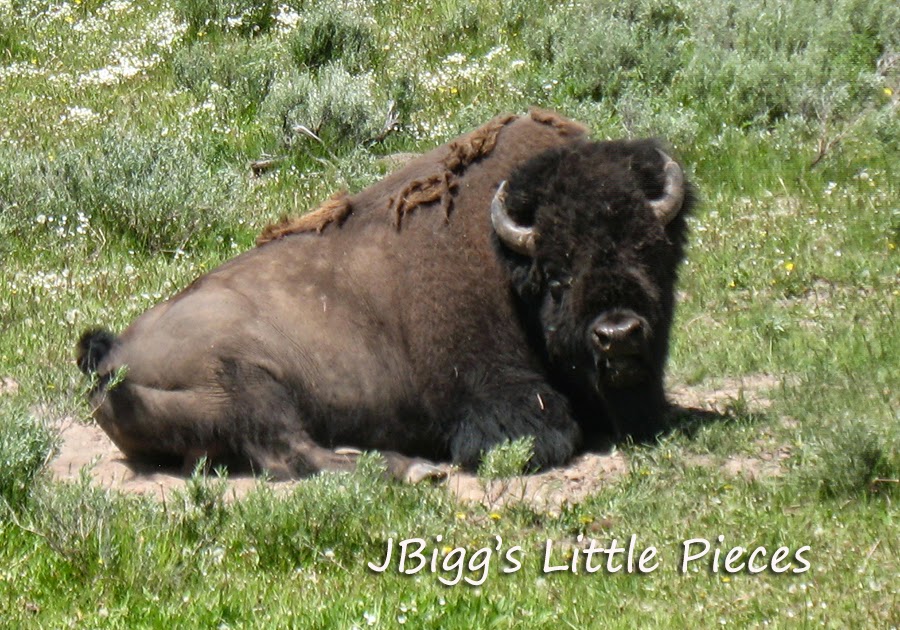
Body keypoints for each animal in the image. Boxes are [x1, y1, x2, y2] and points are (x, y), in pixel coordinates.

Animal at [77, 109, 694, 481]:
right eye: (556, 276)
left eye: (651, 253)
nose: (618, 334)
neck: (504, 260)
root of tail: (111, 355)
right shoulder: (499, 400)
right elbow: (545, 431)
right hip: (243, 382)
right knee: (289, 451)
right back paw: (409, 469)